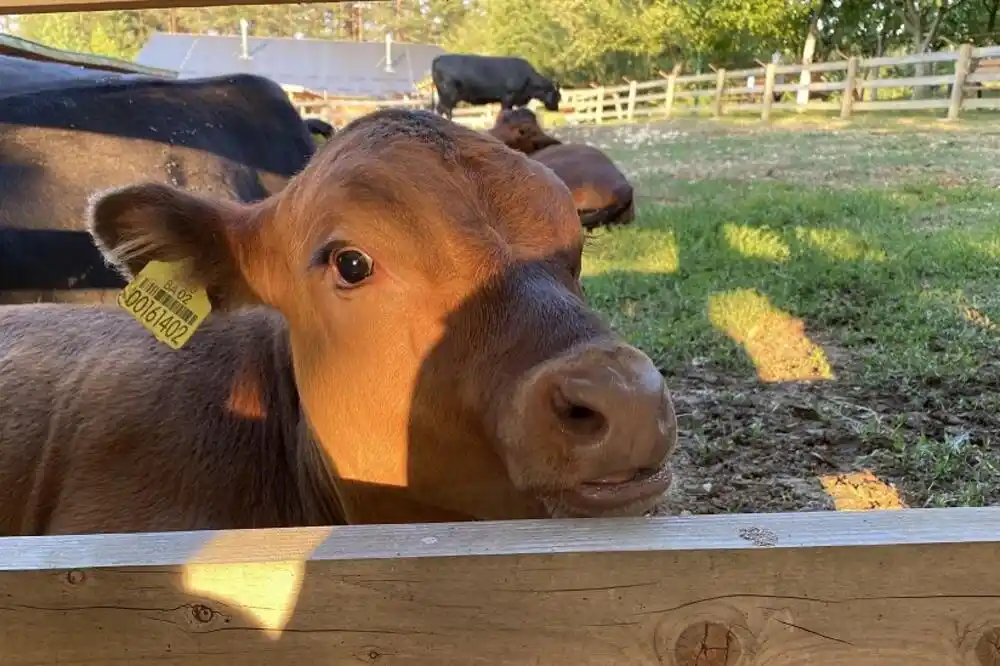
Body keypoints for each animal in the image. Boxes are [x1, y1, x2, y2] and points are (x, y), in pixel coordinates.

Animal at [426, 53, 560, 118]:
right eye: (557, 96)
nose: (556, 109)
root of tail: (437, 59)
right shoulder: (508, 97)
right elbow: (504, 112)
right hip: (449, 94)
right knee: (445, 110)